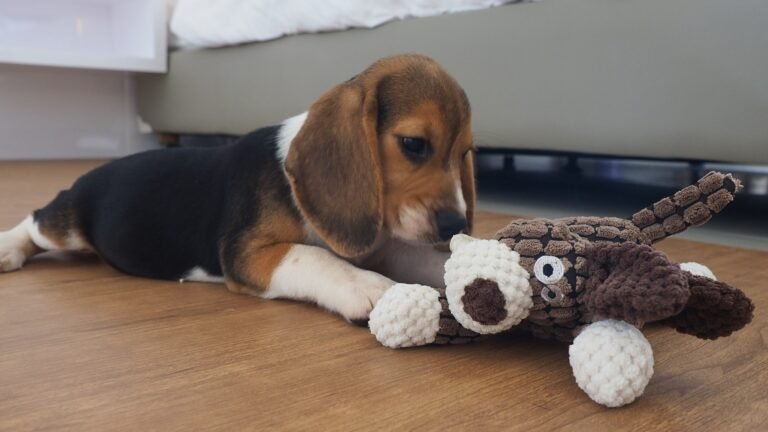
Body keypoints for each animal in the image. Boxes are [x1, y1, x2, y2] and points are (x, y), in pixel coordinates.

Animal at [0, 54, 476, 322]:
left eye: (466, 152)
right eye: (414, 144)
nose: (455, 224)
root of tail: (94, 172)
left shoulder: (382, 243)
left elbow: (418, 258)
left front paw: (458, 265)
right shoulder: (246, 253)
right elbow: (315, 257)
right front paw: (369, 286)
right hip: (68, 224)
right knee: (36, 223)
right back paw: (8, 249)